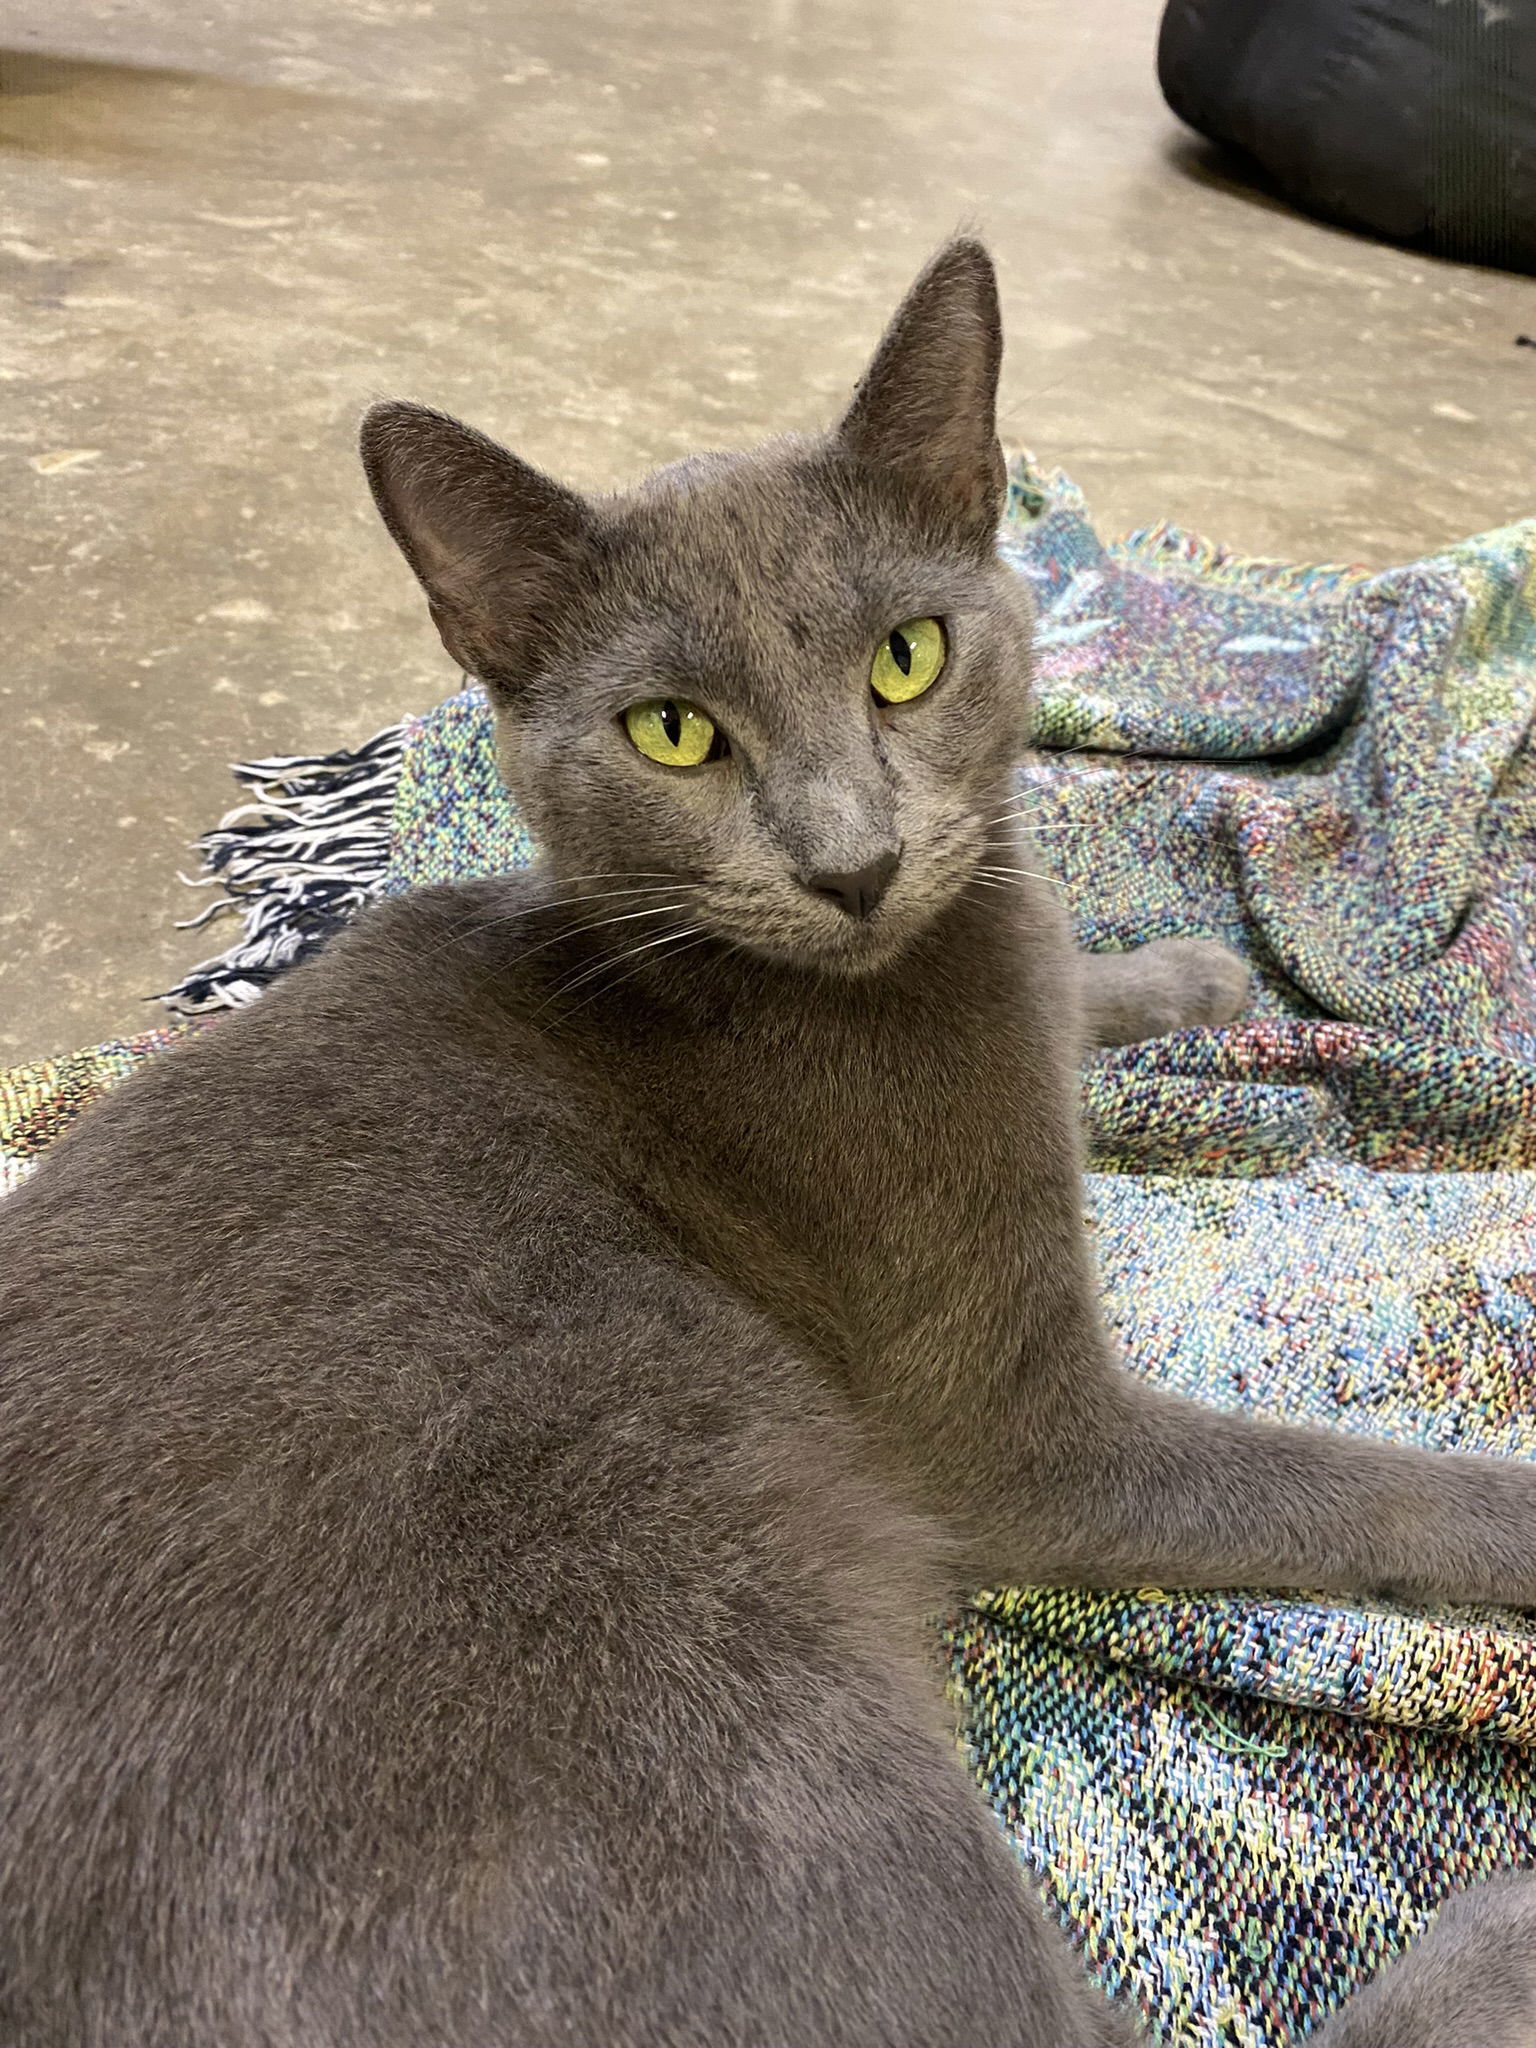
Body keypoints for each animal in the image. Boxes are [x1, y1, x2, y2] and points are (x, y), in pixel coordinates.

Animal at [3, 243, 1536, 2048]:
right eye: (675, 732)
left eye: (907, 657)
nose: (851, 863)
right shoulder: (1019, 1430)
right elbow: (1359, 1482)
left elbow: (1062, 972)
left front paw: (1185, 974)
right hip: (734, 1675)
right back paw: (1511, 1920)